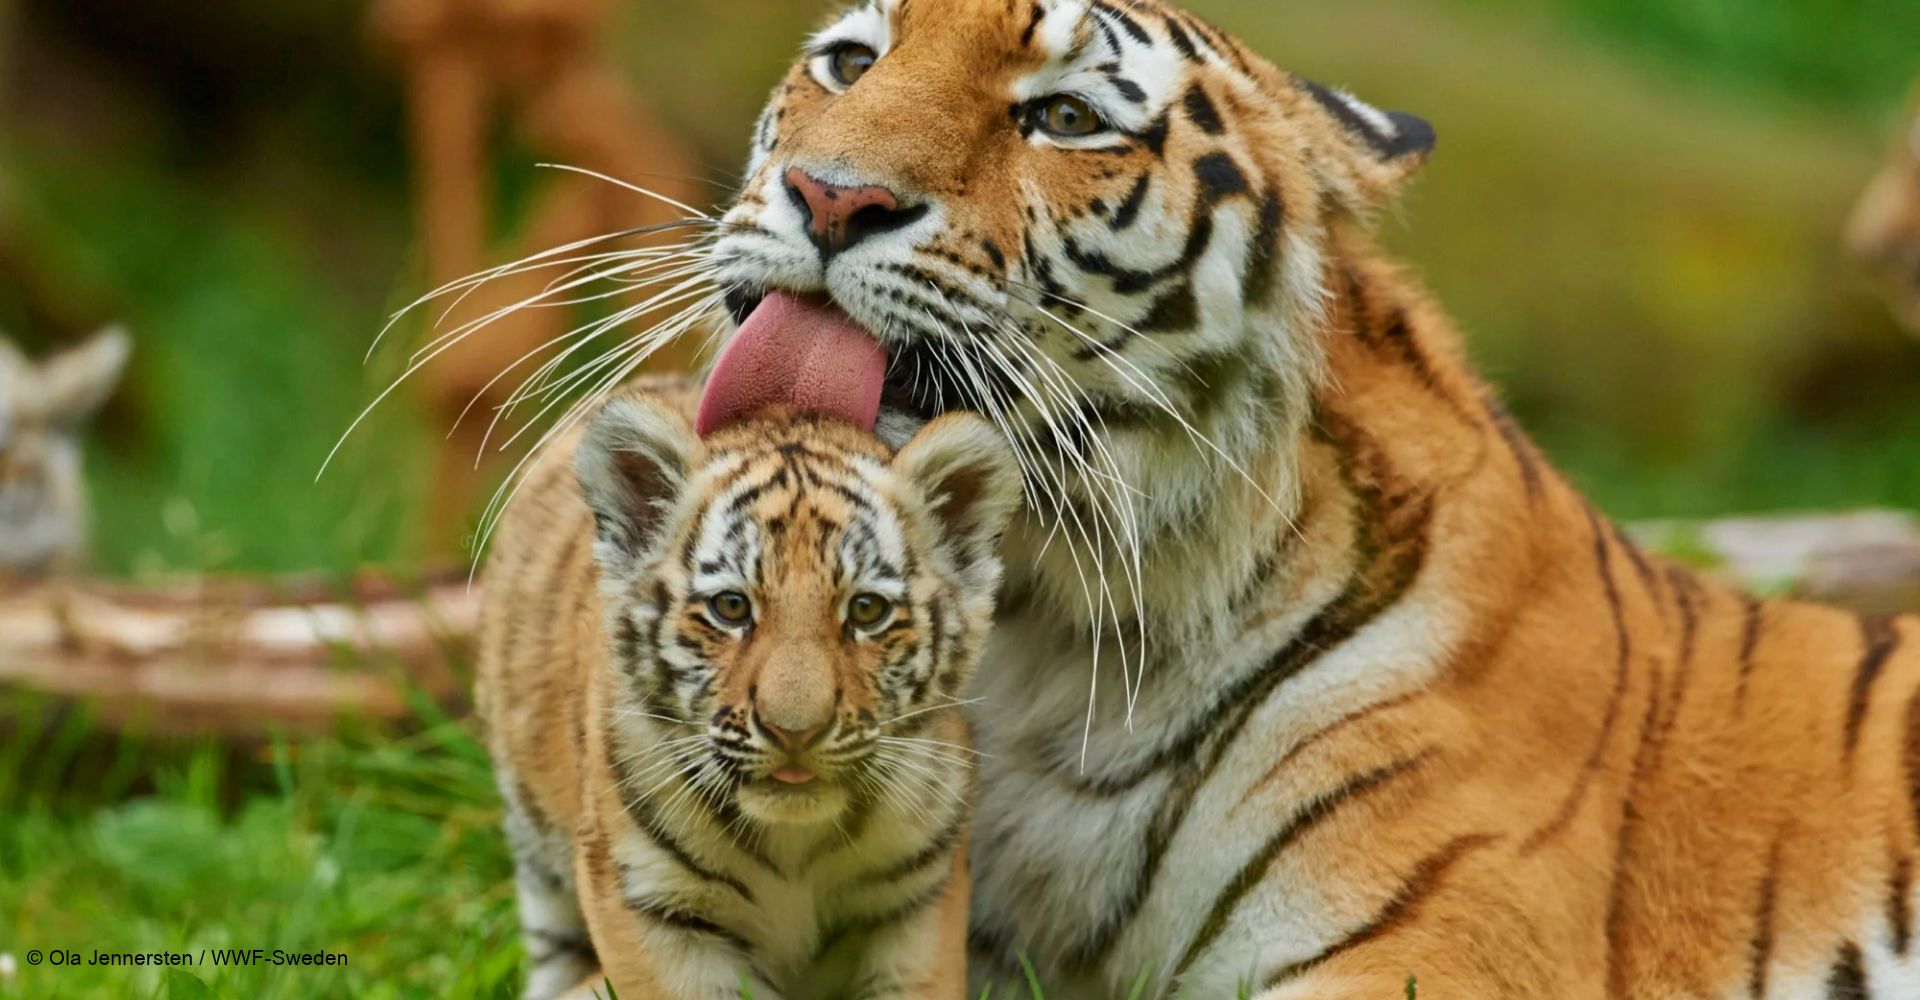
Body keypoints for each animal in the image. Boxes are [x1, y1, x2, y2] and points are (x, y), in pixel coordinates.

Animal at [476, 383, 1023, 999]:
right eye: (732, 607)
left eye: (867, 610)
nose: (795, 731)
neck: (794, 844)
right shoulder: (655, 906)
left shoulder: (917, 899)